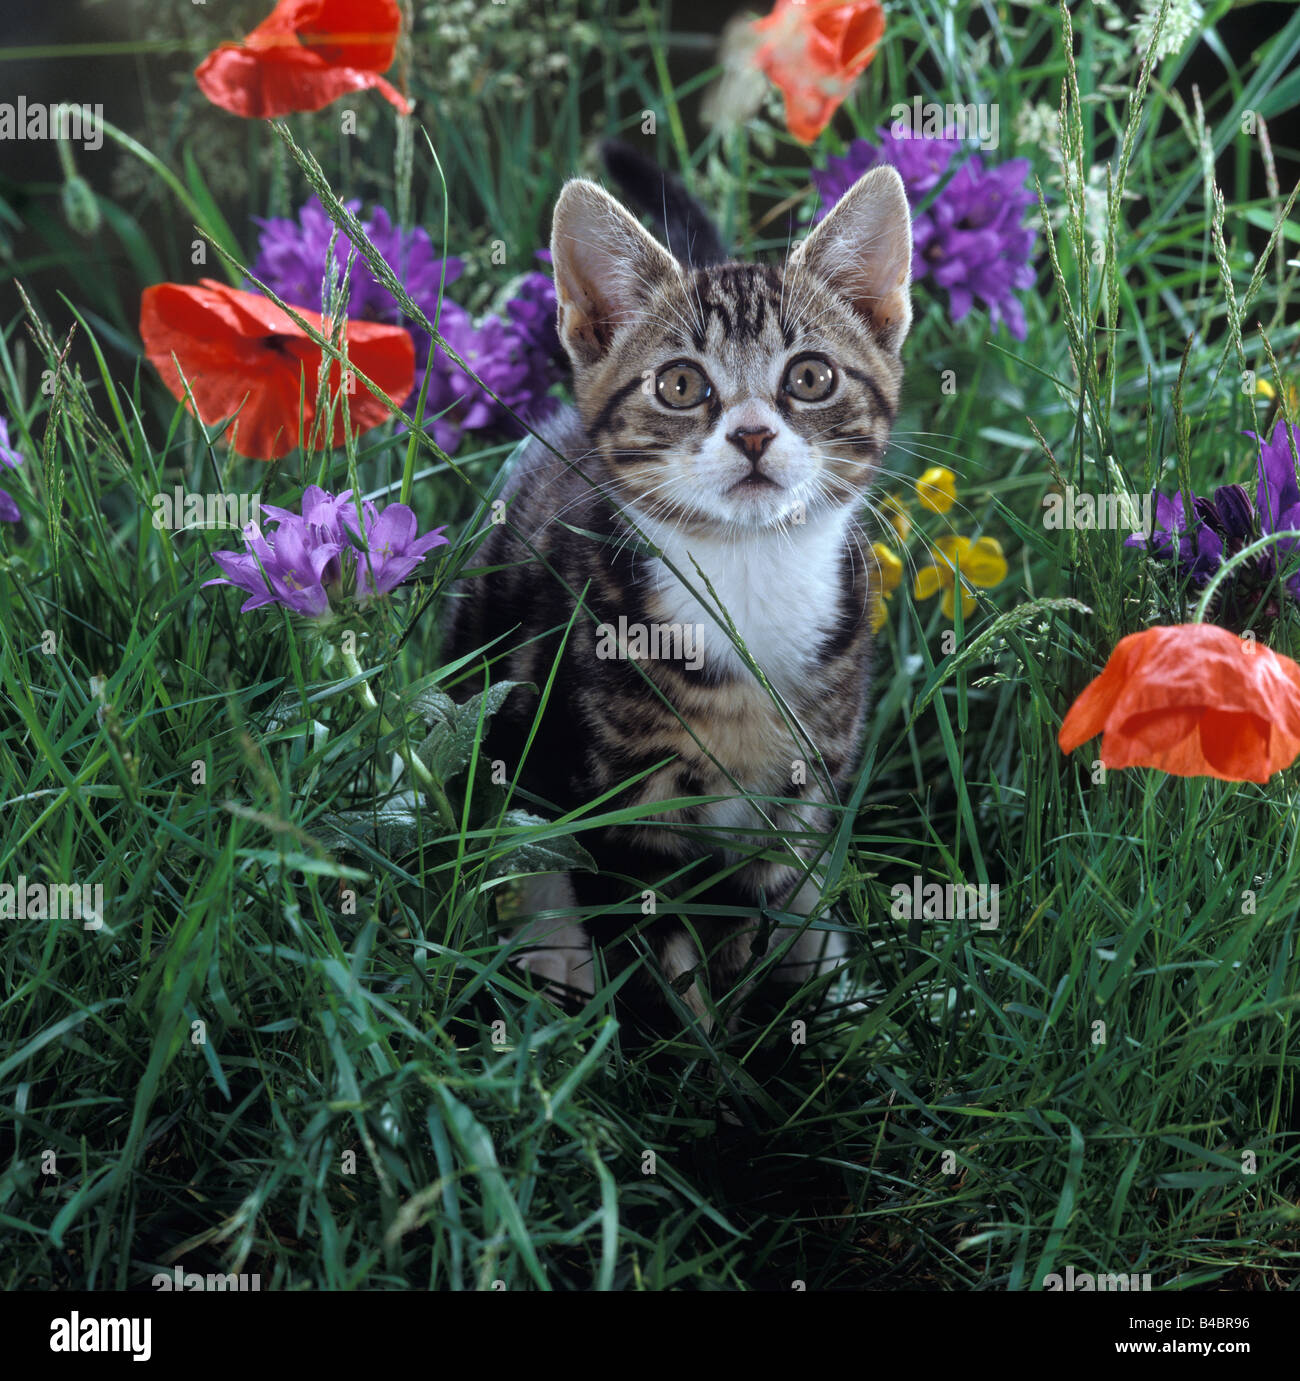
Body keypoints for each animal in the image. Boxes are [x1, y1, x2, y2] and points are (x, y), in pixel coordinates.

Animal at [447, 156, 911, 1032]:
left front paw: (775, 1039)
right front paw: (683, 1052)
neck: (746, 576)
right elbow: (656, 967)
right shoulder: (613, 812)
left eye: (810, 376)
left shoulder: (795, 807)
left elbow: (757, 935)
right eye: (681, 384)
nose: (753, 433)